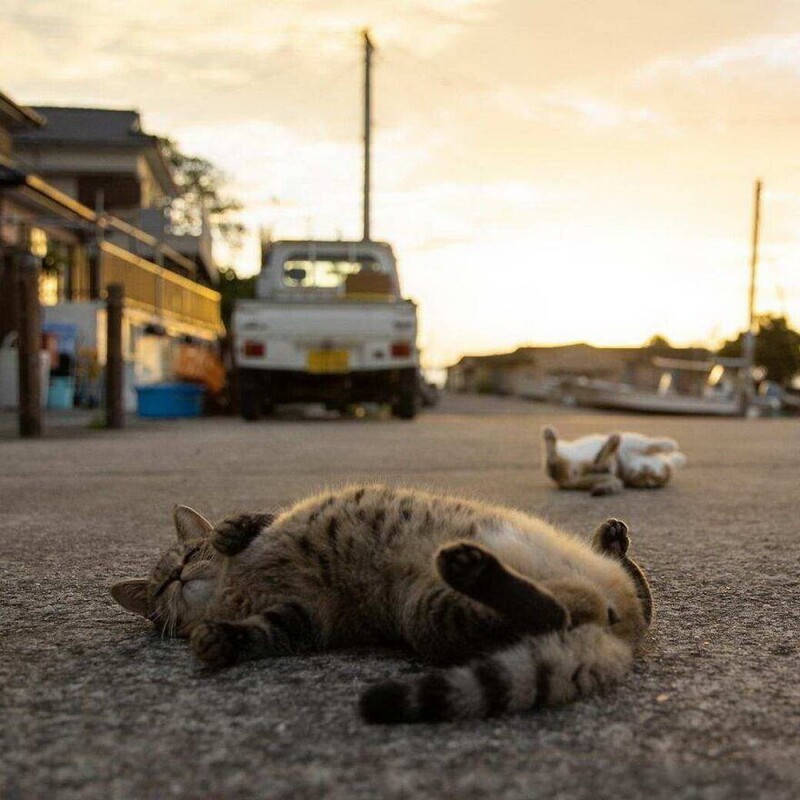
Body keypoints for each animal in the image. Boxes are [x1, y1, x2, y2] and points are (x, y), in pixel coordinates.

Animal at [111, 484, 648, 720]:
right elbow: (259, 633)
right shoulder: (302, 615)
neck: (230, 588)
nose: (178, 575)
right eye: (159, 591)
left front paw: (229, 532)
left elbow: (253, 520)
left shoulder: (275, 528)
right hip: (431, 611)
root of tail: (619, 636)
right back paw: (475, 568)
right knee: (565, 609)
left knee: (625, 593)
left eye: (190, 554)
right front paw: (216, 641)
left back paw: (609, 540)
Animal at [544, 428, 688, 496]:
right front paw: (670, 445)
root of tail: (567, 482)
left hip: (600, 467)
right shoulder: (633, 442)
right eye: (646, 470)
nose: (641, 476)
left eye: (646, 482)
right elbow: (649, 444)